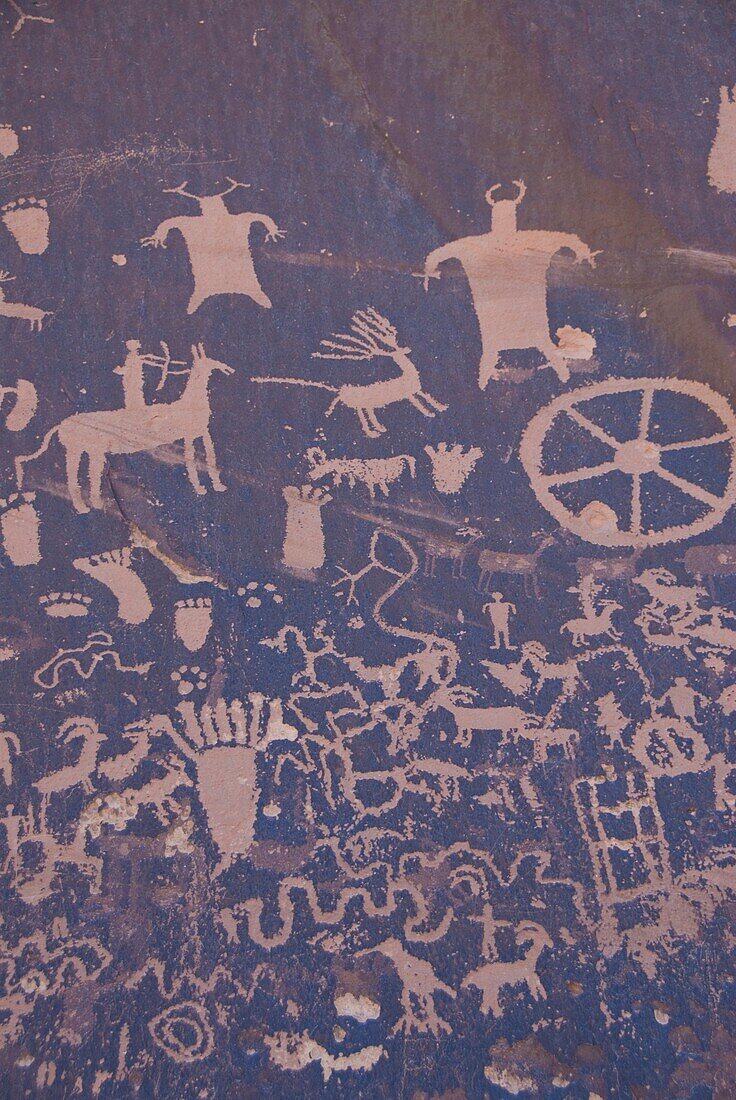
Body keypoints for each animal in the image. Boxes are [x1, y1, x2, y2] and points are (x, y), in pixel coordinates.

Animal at [141, 176, 286, 314]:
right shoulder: (187, 222)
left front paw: (274, 232)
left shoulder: (243, 218)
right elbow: (170, 222)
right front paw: (156, 239)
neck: (214, 217)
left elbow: (261, 217)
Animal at [253, 305, 448, 437]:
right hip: (362, 404)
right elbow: (423, 402)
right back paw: (375, 431)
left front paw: (439, 408)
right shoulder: (412, 392)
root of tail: (340, 390)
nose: (405, 350)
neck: (408, 374)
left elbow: (423, 401)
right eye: (397, 352)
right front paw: (434, 410)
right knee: (364, 417)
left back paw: (378, 429)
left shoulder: (413, 393)